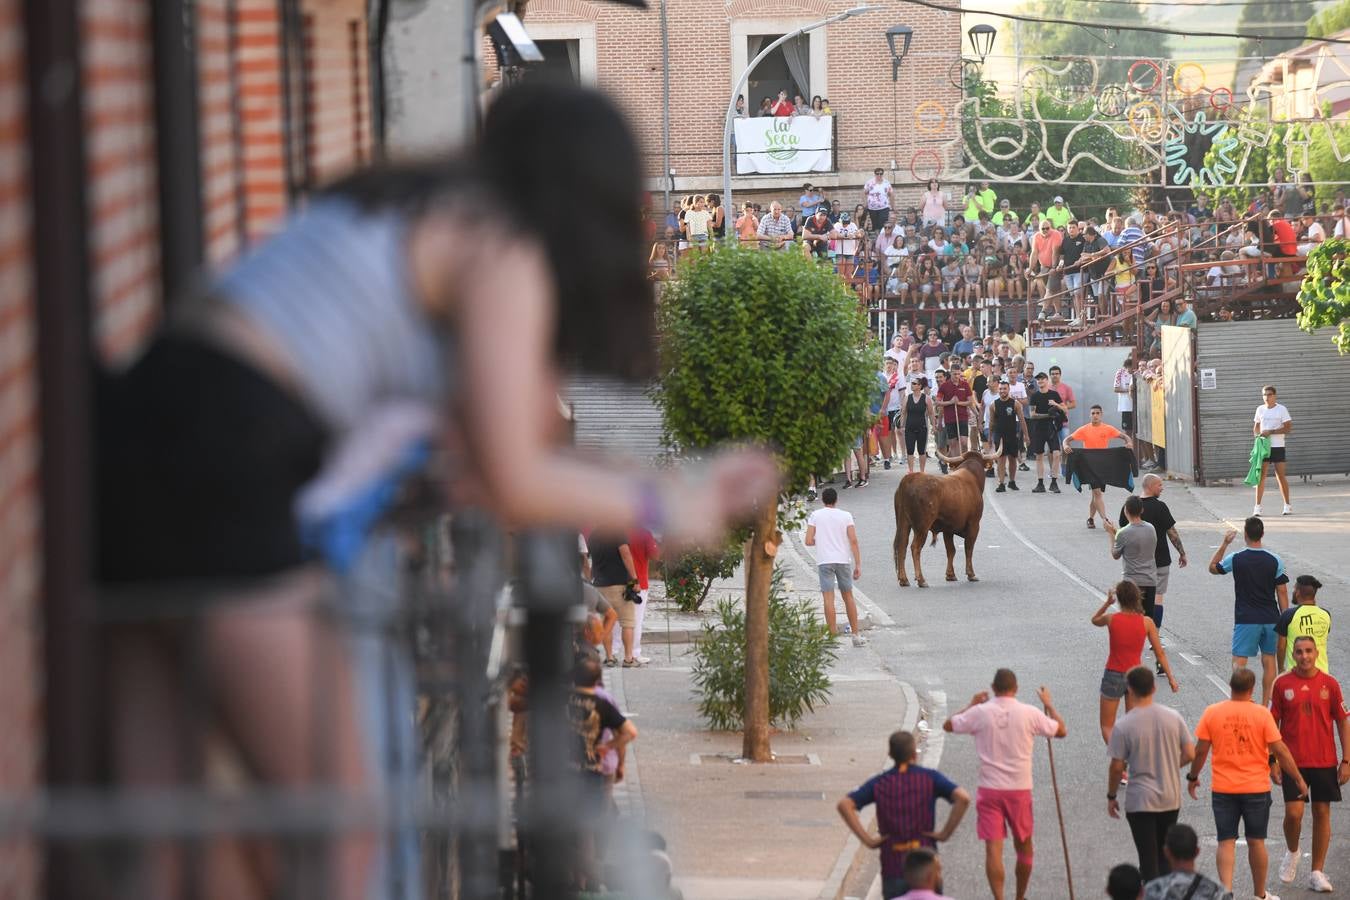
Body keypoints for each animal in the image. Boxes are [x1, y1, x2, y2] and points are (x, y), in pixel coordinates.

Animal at [896, 447, 993, 588]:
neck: (972, 477)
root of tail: (910, 478)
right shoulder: (974, 525)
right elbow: (968, 548)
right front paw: (971, 574)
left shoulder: (948, 529)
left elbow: (951, 550)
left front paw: (950, 575)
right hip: (922, 528)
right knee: (915, 548)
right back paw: (921, 580)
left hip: (903, 523)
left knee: (901, 545)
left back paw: (904, 580)